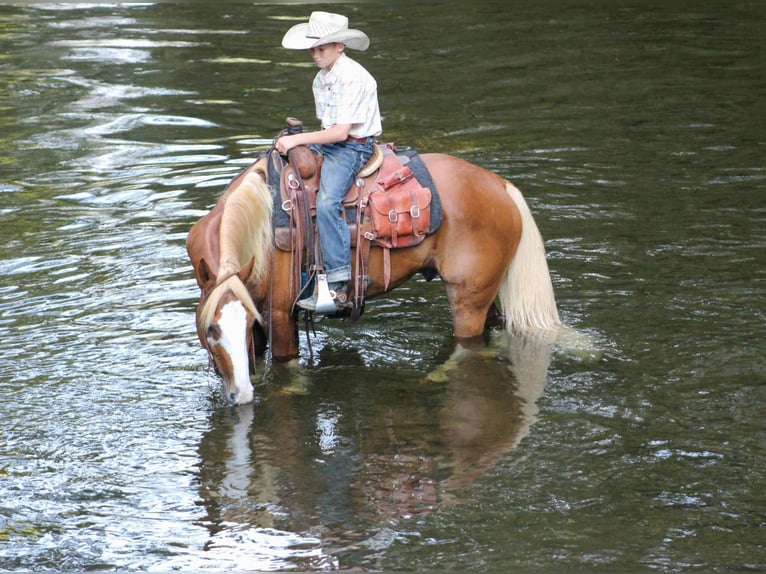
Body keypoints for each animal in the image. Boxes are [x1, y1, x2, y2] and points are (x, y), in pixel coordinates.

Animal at [186, 148, 567, 405]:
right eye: (211, 329)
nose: (241, 396)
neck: (262, 226)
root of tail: (502, 187)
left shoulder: (280, 314)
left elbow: (285, 369)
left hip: (468, 299)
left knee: (469, 349)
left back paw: (432, 377)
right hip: (484, 292)